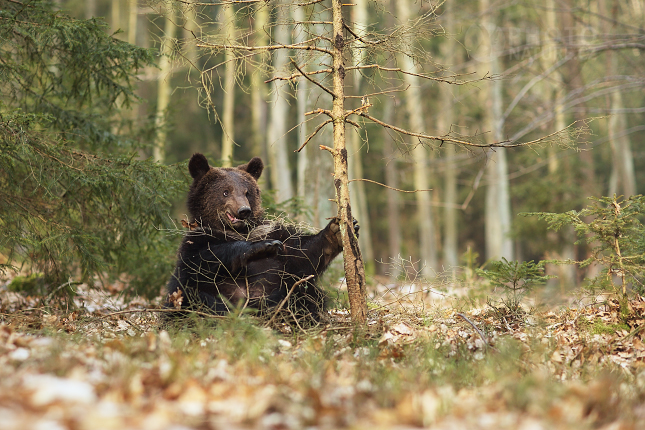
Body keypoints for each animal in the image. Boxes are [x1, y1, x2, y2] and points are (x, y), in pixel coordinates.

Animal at [166, 154, 358, 320]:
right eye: (225, 191)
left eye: (247, 192)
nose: (243, 210)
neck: (238, 231)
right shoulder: (196, 240)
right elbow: (203, 259)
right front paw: (263, 247)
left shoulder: (274, 234)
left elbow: (302, 255)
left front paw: (336, 232)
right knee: (198, 299)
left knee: (304, 295)